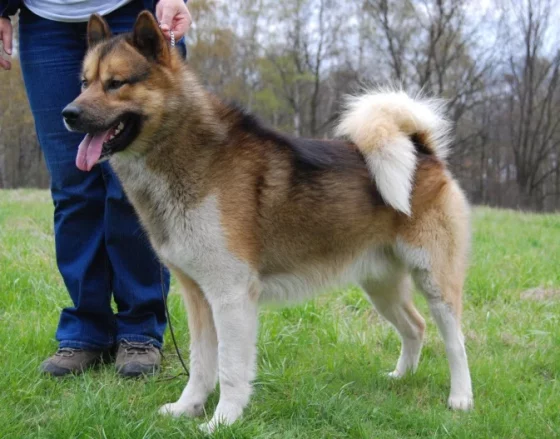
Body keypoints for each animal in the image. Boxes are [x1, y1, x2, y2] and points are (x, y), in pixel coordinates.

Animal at [61, 11, 472, 434]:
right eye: (85, 82)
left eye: (116, 83)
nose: (68, 114)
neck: (187, 152)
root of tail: (423, 150)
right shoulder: (198, 297)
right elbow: (201, 364)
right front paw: (187, 408)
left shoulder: (231, 296)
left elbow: (230, 368)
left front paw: (222, 421)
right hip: (380, 285)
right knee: (415, 327)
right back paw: (401, 377)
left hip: (434, 281)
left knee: (455, 341)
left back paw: (460, 398)